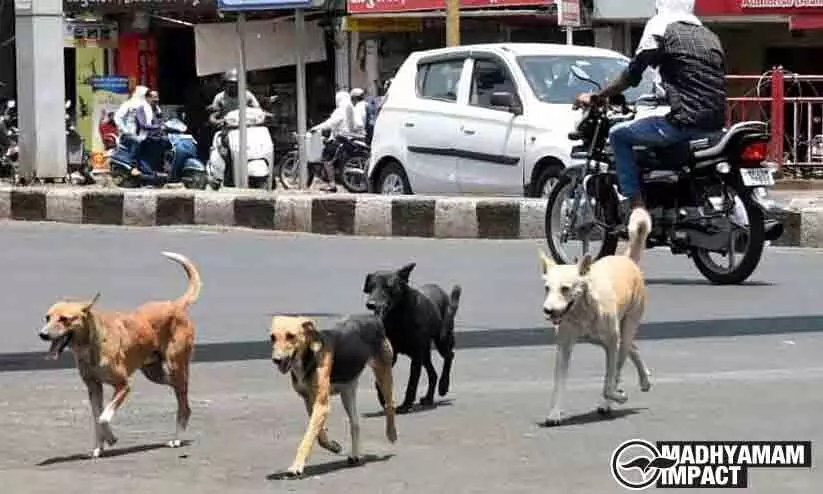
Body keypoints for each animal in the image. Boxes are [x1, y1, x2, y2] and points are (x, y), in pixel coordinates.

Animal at [37, 253, 202, 458]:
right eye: (47, 317)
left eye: (64, 319)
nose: (42, 334)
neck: (92, 345)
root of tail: (176, 305)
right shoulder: (93, 388)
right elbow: (96, 417)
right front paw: (98, 447)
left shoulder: (123, 386)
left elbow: (103, 418)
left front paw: (111, 439)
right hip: (155, 373)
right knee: (181, 393)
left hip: (175, 366)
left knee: (183, 404)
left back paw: (177, 438)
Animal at [270, 314, 400, 476]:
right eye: (272, 337)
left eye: (291, 336)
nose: (276, 359)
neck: (308, 355)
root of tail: (373, 317)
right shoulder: (310, 401)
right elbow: (319, 435)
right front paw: (333, 446)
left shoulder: (321, 405)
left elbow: (308, 437)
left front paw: (297, 465)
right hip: (347, 392)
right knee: (355, 424)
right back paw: (355, 455)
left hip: (383, 372)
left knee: (390, 404)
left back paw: (391, 434)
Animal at [362, 262, 460, 412]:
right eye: (371, 287)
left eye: (388, 287)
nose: (370, 304)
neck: (398, 315)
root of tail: (443, 293)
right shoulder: (391, 354)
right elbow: (381, 380)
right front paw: (383, 398)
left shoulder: (416, 355)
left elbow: (412, 382)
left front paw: (406, 405)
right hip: (425, 353)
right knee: (433, 374)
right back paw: (428, 398)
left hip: (441, 340)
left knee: (449, 356)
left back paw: (443, 385)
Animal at [540, 208, 656, 424]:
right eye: (547, 288)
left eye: (565, 288)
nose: (548, 310)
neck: (583, 312)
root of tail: (627, 259)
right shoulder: (564, 347)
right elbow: (559, 384)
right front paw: (554, 412)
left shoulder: (611, 344)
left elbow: (609, 383)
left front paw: (616, 396)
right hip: (620, 335)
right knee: (632, 348)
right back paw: (644, 379)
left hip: (626, 329)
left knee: (620, 362)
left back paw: (610, 401)